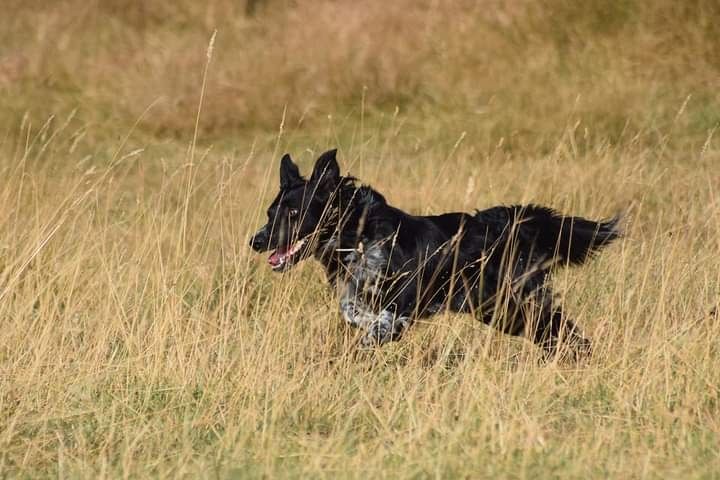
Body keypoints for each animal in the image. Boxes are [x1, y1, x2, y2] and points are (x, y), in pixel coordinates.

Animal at [249, 149, 620, 356]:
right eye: (270, 212)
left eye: (294, 213)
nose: (256, 240)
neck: (357, 233)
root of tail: (512, 220)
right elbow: (350, 311)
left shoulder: (403, 299)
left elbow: (382, 322)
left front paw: (376, 333)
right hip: (501, 311)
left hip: (515, 301)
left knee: (565, 332)